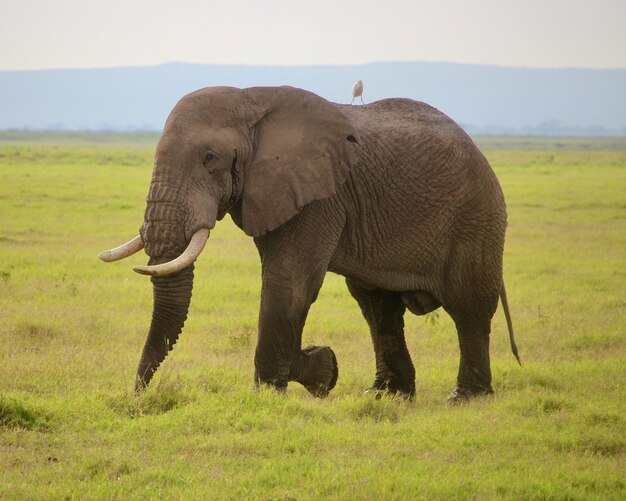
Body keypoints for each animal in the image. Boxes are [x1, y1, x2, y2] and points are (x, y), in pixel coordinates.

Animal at [97, 85, 516, 402]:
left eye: (209, 157)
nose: (139, 393)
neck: (250, 102)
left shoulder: (319, 194)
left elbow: (289, 282)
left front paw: (282, 388)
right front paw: (323, 371)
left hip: (477, 217)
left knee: (468, 305)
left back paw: (465, 397)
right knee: (376, 304)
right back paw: (385, 395)